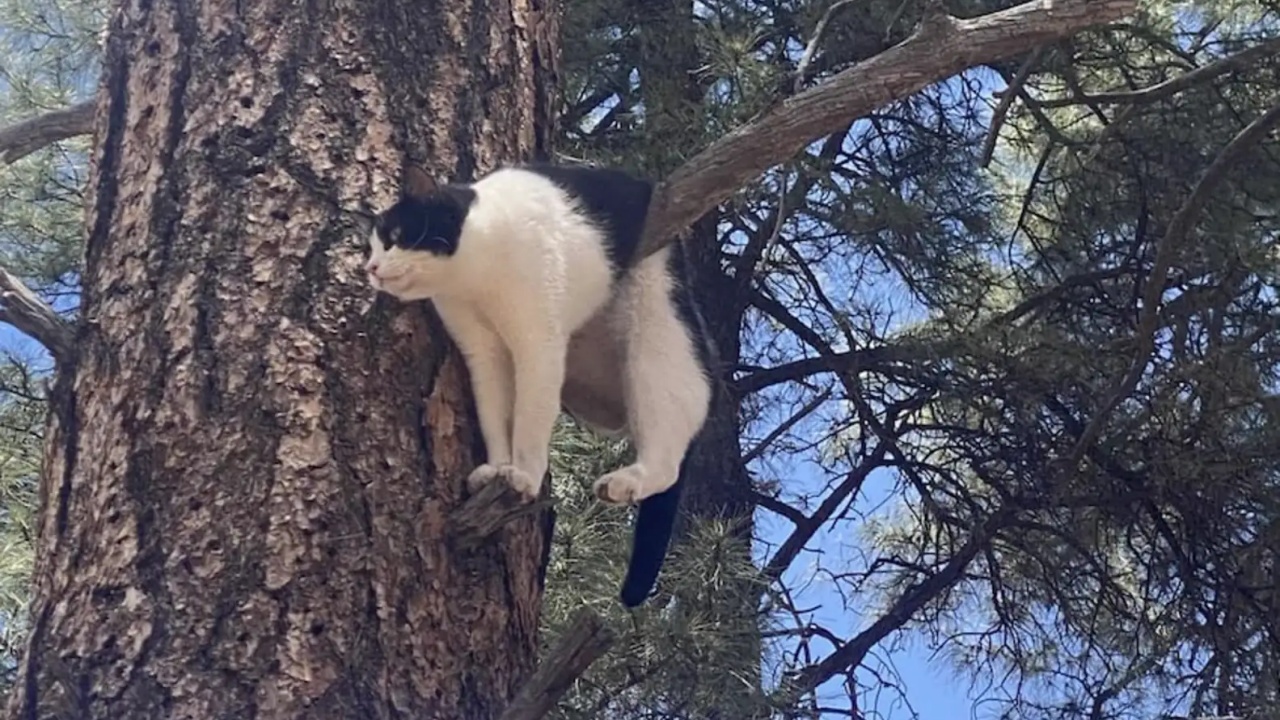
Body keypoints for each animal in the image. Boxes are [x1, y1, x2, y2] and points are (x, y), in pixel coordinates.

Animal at [366, 162, 716, 604]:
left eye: (395, 237)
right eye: (372, 247)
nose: (370, 269)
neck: (475, 275)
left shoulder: (539, 345)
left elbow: (530, 421)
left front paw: (525, 477)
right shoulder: (484, 354)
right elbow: (495, 415)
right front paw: (498, 468)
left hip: (656, 333)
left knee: (671, 448)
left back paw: (626, 482)